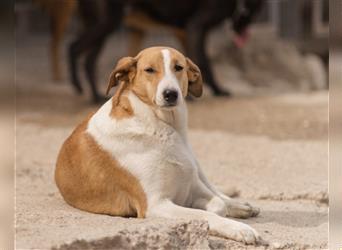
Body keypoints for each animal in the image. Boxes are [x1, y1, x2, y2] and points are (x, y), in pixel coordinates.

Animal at [54, 47, 260, 244]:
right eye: (149, 70)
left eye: (179, 67)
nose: (170, 94)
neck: (161, 126)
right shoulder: (155, 204)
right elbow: (208, 213)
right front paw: (239, 229)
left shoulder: (191, 184)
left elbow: (218, 204)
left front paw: (230, 212)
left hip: (195, 165)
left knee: (217, 191)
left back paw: (241, 206)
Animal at [68, 0, 264, 102]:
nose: (245, 32)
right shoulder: (195, 28)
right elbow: (204, 62)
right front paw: (218, 90)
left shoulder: (184, 33)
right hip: (106, 21)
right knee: (73, 47)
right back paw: (78, 87)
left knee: (87, 61)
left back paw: (94, 95)